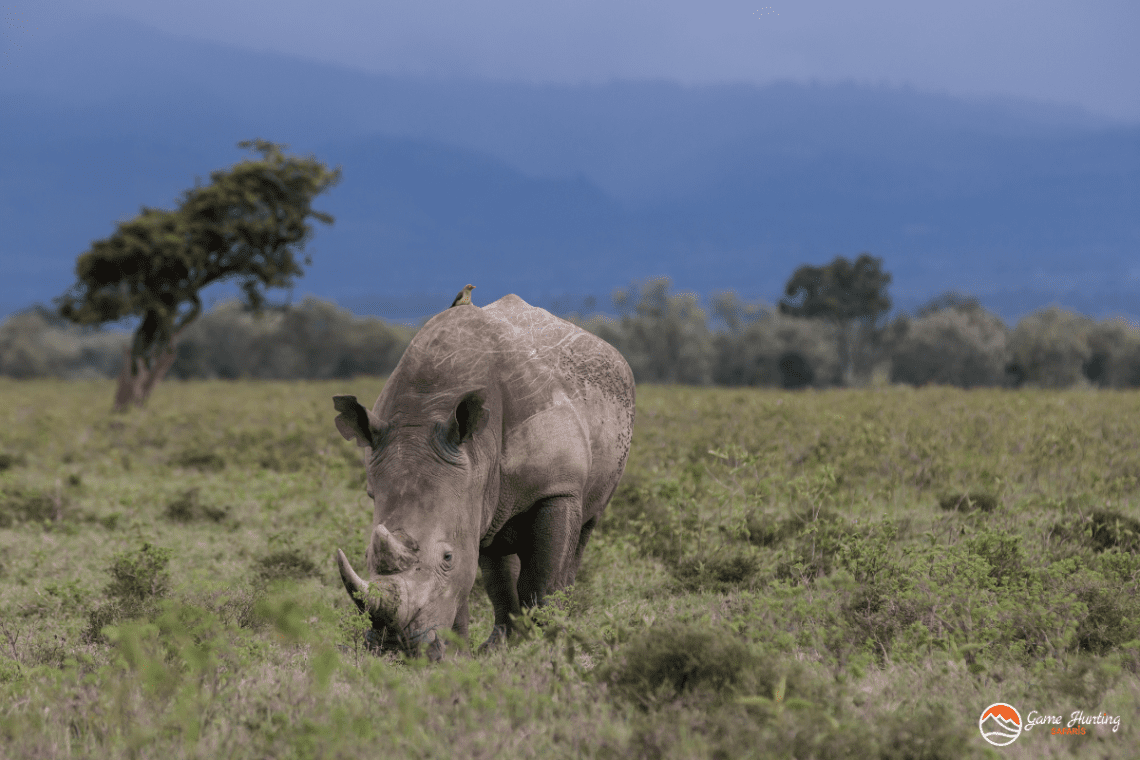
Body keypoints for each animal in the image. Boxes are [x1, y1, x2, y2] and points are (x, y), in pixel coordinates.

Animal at [333, 294, 635, 659]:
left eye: (446, 557)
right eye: (366, 556)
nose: (393, 648)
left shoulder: (557, 488)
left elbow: (542, 578)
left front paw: (544, 649)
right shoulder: (466, 488)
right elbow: (469, 579)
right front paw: (458, 656)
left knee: (581, 535)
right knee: (496, 557)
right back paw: (498, 644)